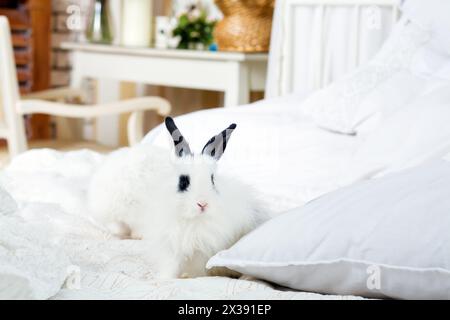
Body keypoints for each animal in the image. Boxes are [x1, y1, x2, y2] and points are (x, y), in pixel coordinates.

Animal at [88, 117, 268, 278]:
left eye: (212, 180)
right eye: (183, 181)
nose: (202, 204)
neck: (191, 220)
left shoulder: (201, 250)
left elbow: (197, 269)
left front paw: (189, 277)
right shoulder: (170, 245)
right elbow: (171, 266)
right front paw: (164, 279)